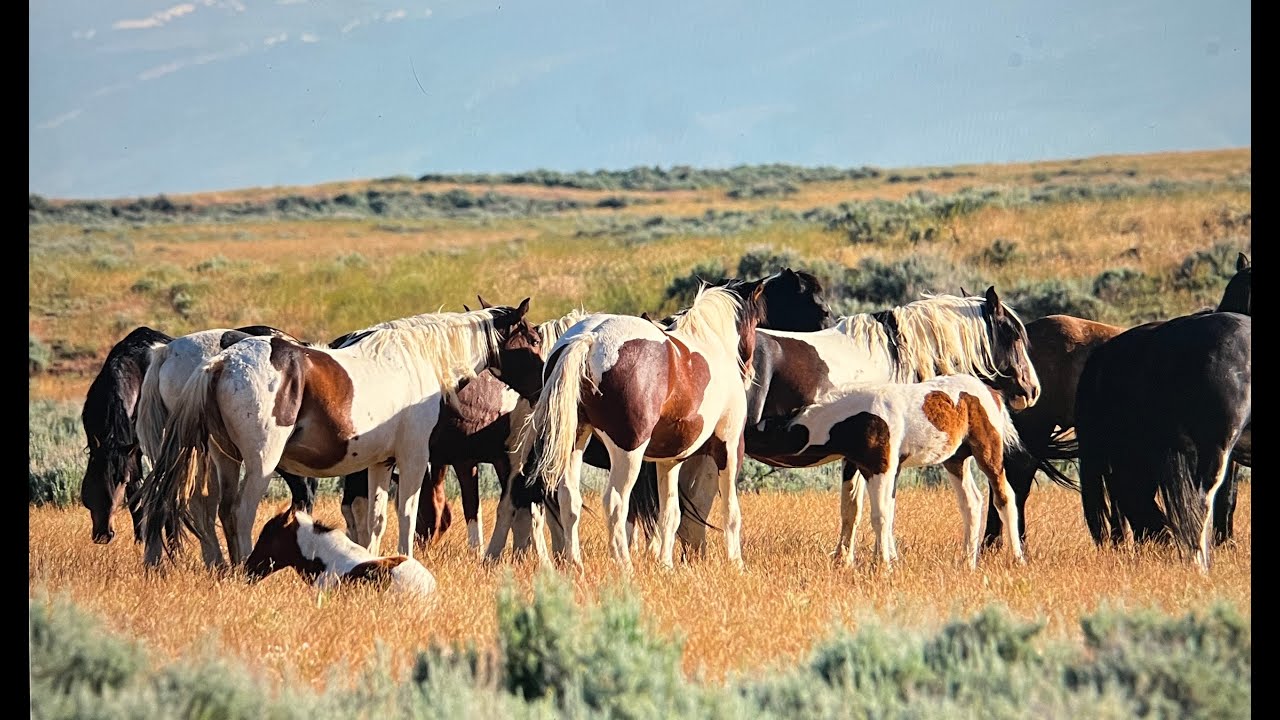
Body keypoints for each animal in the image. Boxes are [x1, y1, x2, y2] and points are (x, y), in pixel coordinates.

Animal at [80, 325, 317, 553]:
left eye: (118, 480)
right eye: (93, 481)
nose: (103, 534)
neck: (137, 366)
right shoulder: (134, 454)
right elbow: (138, 495)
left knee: (304, 490)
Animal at [138, 300, 541, 569]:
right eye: (534, 340)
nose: (540, 390)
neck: (417, 361)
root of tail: (221, 362)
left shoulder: (382, 463)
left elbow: (375, 519)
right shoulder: (414, 458)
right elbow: (408, 514)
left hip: (225, 458)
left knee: (218, 509)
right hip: (261, 463)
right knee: (239, 511)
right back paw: (244, 566)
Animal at [751, 373, 1026, 568]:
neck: (851, 417)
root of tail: (991, 392)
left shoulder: (881, 467)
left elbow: (880, 515)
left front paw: (882, 565)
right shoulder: (859, 466)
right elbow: (858, 511)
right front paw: (870, 561)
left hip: (987, 453)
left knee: (1004, 498)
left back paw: (1016, 559)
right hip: (955, 460)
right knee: (972, 502)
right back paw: (967, 563)